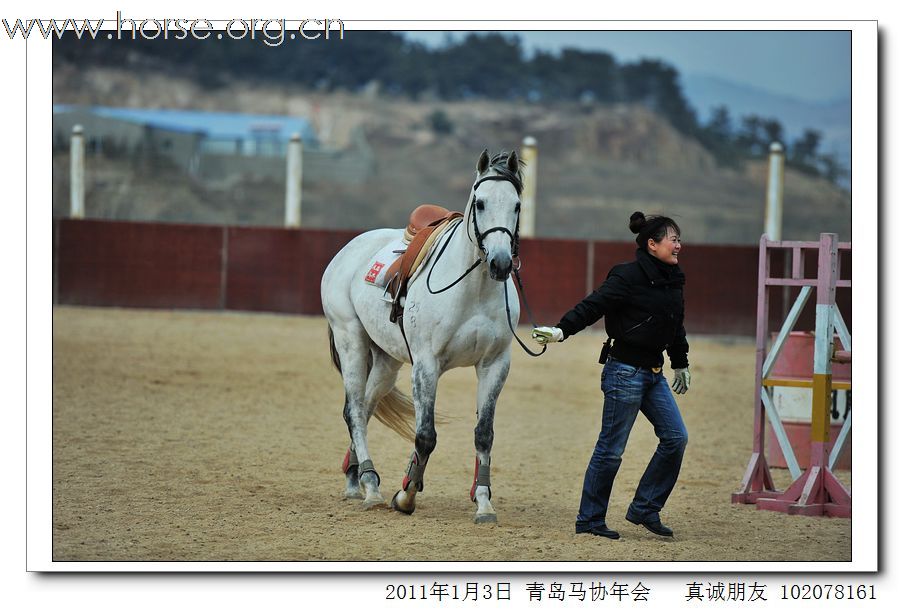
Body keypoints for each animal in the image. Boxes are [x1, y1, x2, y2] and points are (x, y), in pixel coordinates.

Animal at [324, 148, 524, 520]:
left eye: (517, 205)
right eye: (480, 203)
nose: (501, 263)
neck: (472, 288)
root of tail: (349, 248)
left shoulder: (495, 364)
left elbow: (484, 435)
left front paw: (484, 502)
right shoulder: (427, 365)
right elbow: (426, 435)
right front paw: (406, 496)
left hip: (387, 361)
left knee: (368, 407)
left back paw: (356, 479)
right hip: (351, 340)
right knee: (354, 411)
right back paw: (371, 485)